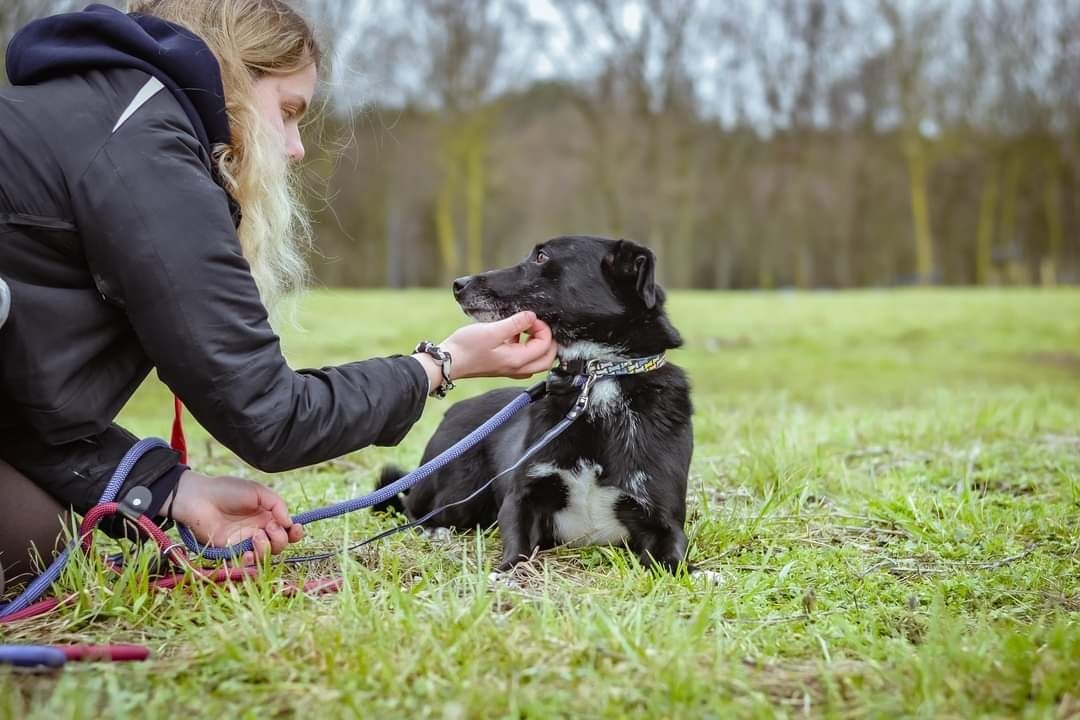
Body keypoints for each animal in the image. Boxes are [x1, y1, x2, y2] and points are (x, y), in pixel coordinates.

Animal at [375, 236, 695, 574]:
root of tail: (455, 410)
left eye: (541, 256)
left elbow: (673, 562)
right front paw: (505, 574)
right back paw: (434, 530)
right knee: (414, 511)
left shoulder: (663, 519)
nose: (458, 284)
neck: (596, 377)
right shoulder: (521, 499)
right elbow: (517, 550)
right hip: (461, 492)